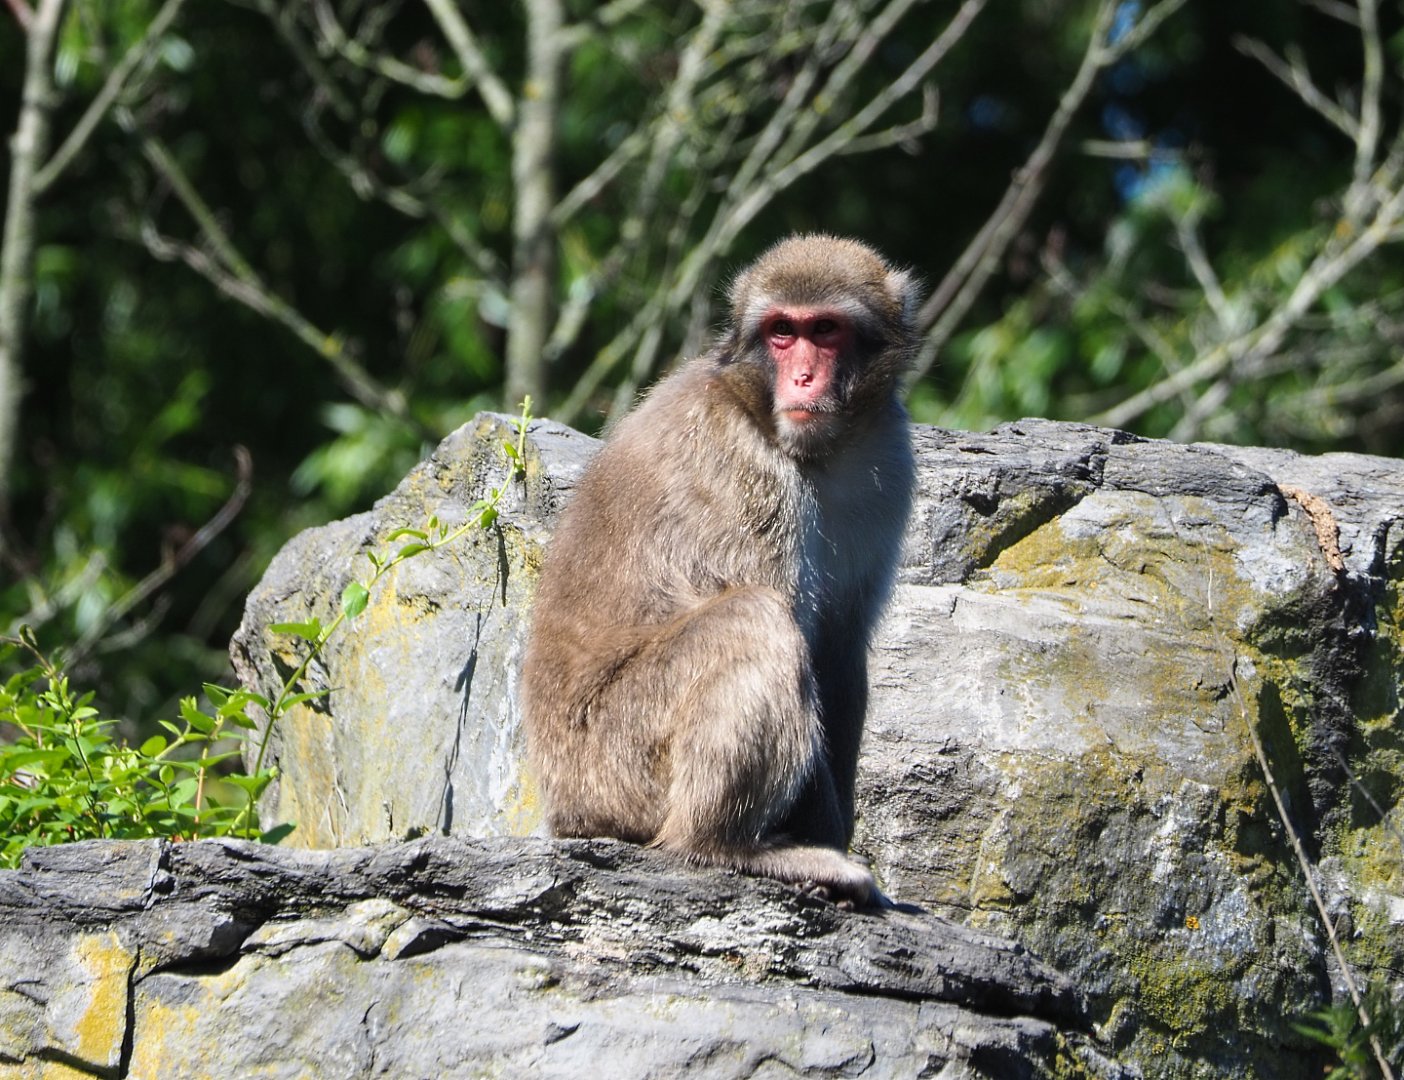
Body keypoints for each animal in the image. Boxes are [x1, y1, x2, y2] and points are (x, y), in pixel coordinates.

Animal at [521, 234, 918, 905]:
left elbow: (840, 650)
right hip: (619, 759)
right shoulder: (743, 472)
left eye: (826, 330)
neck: (816, 451)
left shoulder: (889, 459)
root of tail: (564, 806)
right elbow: (788, 623)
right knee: (754, 617)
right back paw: (726, 845)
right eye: (783, 331)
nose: (803, 377)